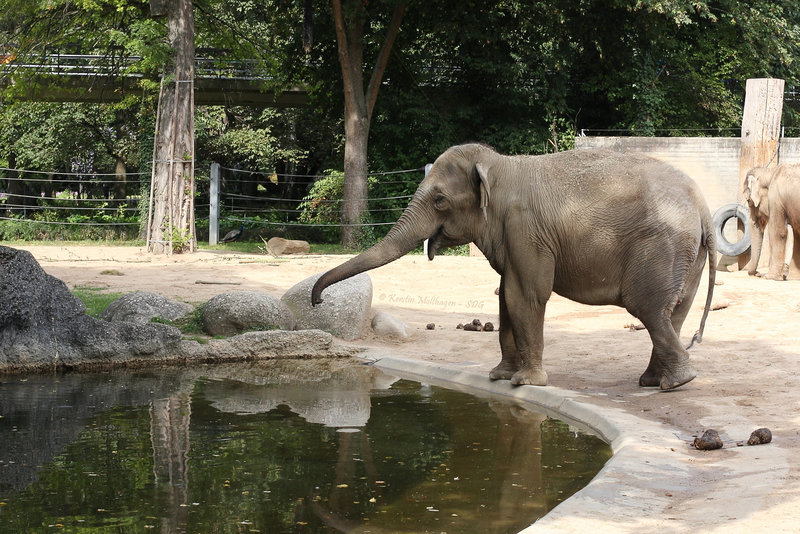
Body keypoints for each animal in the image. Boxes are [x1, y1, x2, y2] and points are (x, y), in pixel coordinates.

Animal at [310, 144, 716, 392]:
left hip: (661, 246)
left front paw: (525, 383)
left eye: (440, 200)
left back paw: (676, 383)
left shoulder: (526, 229)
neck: (500, 164)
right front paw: (498, 377)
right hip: (687, 255)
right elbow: (505, 296)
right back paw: (654, 381)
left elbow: (526, 296)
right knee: (674, 311)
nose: (317, 300)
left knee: (647, 307)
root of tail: (703, 207)